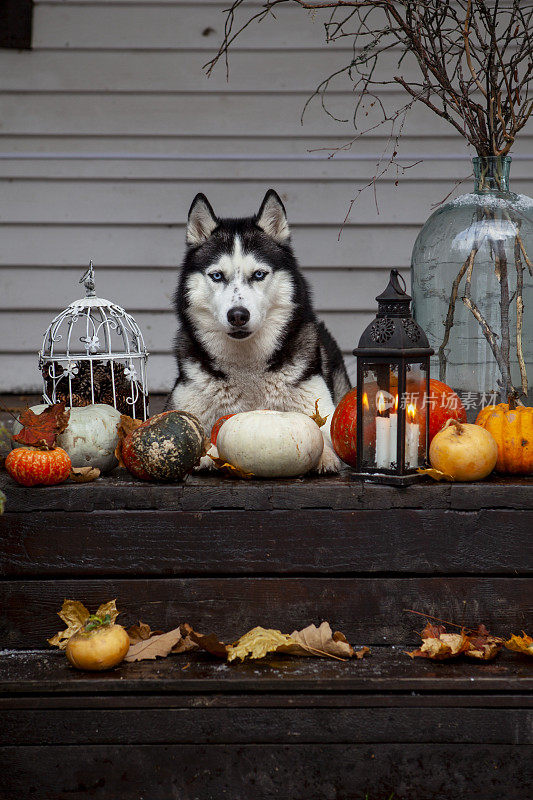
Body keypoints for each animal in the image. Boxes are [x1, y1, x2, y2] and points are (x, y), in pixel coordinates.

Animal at [166, 190, 350, 472]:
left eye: (259, 274)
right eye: (217, 276)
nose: (238, 315)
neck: (247, 366)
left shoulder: (322, 411)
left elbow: (328, 436)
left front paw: (325, 455)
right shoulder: (180, 407)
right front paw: (206, 454)